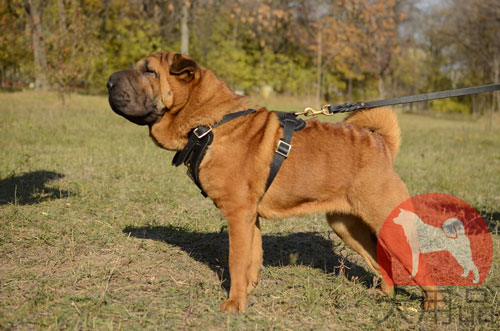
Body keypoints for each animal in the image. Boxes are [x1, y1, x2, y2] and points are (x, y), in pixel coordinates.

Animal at [105, 50, 442, 312]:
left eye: (149, 70)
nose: (108, 82)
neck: (210, 124)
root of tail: (380, 144)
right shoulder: (249, 216)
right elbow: (252, 258)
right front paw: (249, 291)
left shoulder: (237, 214)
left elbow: (237, 260)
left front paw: (233, 305)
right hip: (347, 226)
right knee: (380, 262)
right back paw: (382, 296)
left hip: (387, 222)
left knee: (421, 266)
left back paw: (431, 307)